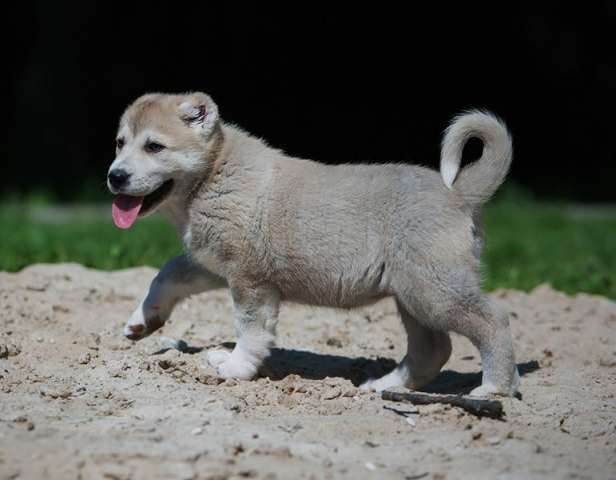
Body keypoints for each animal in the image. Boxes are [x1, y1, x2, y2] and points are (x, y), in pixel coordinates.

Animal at [107, 91, 520, 398]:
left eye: (155, 147)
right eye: (120, 143)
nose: (115, 176)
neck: (214, 172)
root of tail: (459, 194)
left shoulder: (250, 280)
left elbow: (250, 329)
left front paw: (235, 367)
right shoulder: (212, 264)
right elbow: (167, 273)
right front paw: (142, 320)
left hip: (435, 289)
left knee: (493, 322)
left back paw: (493, 388)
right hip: (413, 294)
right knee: (432, 349)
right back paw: (383, 385)